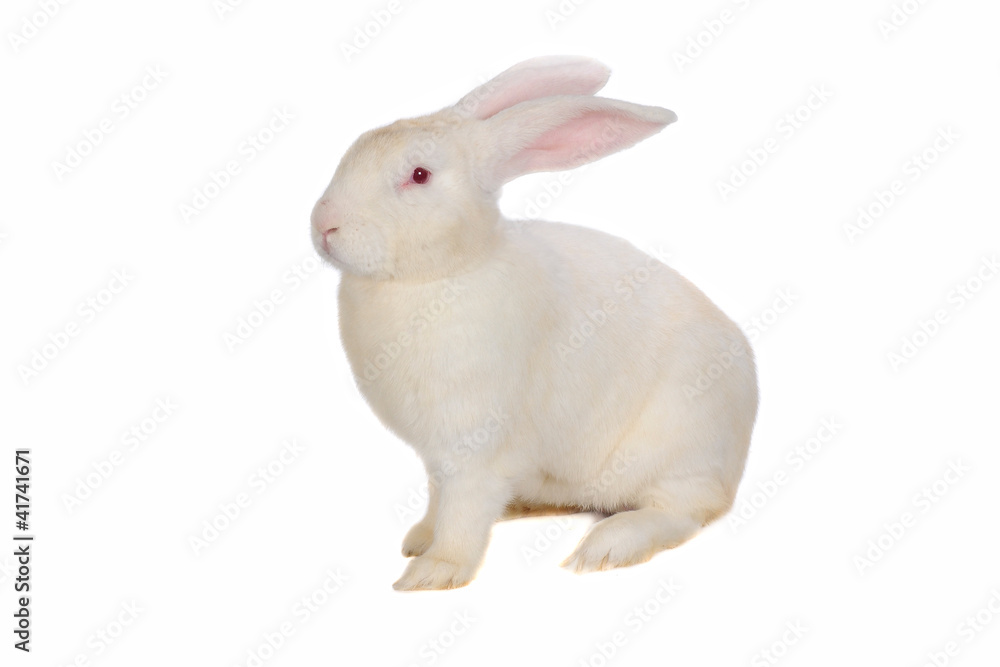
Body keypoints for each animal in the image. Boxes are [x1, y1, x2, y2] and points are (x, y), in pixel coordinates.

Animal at [311, 56, 758, 590]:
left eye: (419, 175)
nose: (324, 224)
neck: (443, 273)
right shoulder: (437, 457)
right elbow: (439, 500)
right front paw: (419, 538)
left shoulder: (473, 447)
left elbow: (462, 511)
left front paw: (433, 572)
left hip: (676, 449)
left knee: (681, 511)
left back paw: (605, 547)